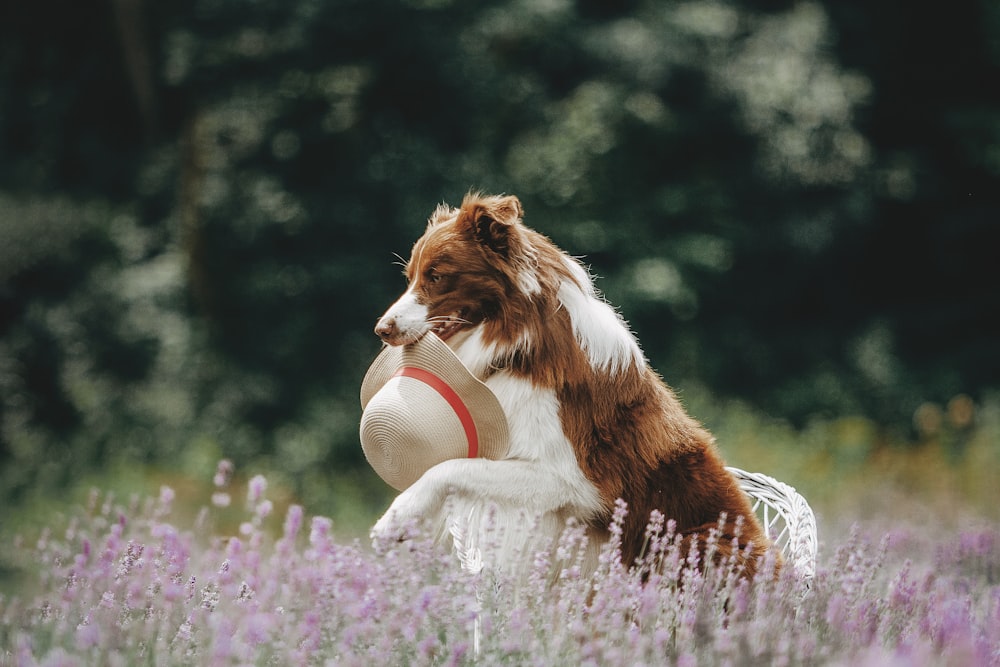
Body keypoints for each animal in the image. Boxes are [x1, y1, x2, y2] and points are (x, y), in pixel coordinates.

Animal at [372, 192, 768, 580]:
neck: (519, 347)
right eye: (411, 277)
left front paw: (393, 520)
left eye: (437, 276)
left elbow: (449, 468)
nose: (381, 329)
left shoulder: (569, 478)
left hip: (690, 545)